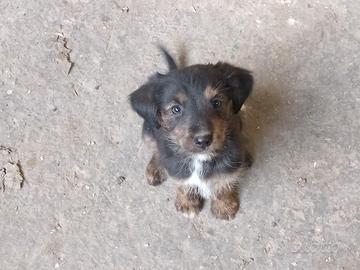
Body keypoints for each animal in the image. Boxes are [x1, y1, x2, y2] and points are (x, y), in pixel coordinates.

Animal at [130, 46, 253, 219]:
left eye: (217, 102)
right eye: (176, 109)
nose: (203, 140)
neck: (199, 159)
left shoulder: (229, 165)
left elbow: (224, 182)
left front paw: (224, 206)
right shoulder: (177, 169)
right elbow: (183, 184)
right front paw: (187, 203)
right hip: (148, 131)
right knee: (156, 150)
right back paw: (155, 168)